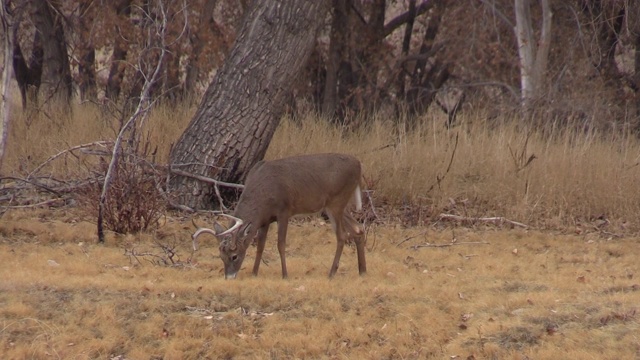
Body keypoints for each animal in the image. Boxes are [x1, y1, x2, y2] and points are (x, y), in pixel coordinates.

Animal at [191, 153, 364, 280]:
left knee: (342, 236)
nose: (229, 277)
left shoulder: (284, 211)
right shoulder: (265, 219)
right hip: (333, 206)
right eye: (221, 256)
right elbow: (260, 245)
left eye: (234, 256)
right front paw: (254, 273)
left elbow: (280, 243)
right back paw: (362, 270)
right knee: (358, 229)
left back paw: (332, 273)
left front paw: (285, 275)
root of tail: (358, 164)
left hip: (337, 201)